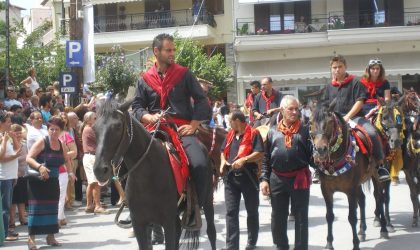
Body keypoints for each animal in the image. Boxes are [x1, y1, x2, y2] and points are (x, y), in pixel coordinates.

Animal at [92, 98, 217, 249]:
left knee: (211, 232)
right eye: (94, 128)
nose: (99, 170)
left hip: (207, 200)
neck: (148, 176)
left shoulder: (168, 222)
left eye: (118, 126)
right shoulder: (140, 223)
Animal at [310, 102, 388, 250]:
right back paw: (362, 231)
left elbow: (352, 217)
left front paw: (355, 244)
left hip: (375, 175)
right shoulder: (326, 190)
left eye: (330, 122)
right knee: (362, 199)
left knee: (379, 197)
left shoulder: (350, 190)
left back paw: (384, 229)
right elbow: (329, 216)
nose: (320, 150)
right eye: (310, 123)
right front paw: (329, 243)